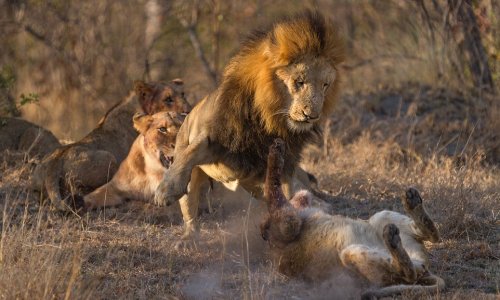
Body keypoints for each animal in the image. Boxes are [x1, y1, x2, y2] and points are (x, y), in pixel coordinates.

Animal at [155, 11, 344, 241]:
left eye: (325, 85)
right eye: (299, 82)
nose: (312, 116)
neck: (269, 121)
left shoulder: (286, 162)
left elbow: (287, 191)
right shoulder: (214, 136)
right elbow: (189, 153)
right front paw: (165, 191)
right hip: (197, 180)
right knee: (191, 210)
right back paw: (189, 238)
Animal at [260, 139, 444, 298]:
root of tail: (426, 271)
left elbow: (277, 192)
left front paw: (277, 149)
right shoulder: (288, 224)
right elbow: (272, 190)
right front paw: (275, 153)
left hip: (381, 217)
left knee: (431, 237)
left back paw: (412, 202)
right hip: (351, 253)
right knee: (407, 273)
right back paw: (393, 239)